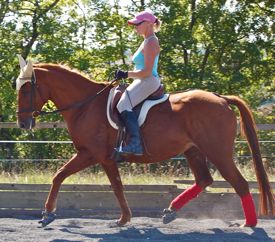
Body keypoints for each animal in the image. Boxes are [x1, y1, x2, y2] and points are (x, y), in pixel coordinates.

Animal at [15, 58, 275, 227]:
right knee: (204, 180)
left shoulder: (95, 155)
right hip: (193, 150)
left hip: (218, 152)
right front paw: (48, 214)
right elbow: (61, 176)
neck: (85, 105)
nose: (23, 123)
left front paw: (122, 219)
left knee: (239, 184)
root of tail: (221, 99)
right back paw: (170, 212)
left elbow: (111, 185)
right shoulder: (92, 155)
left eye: (26, 89)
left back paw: (249, 224)